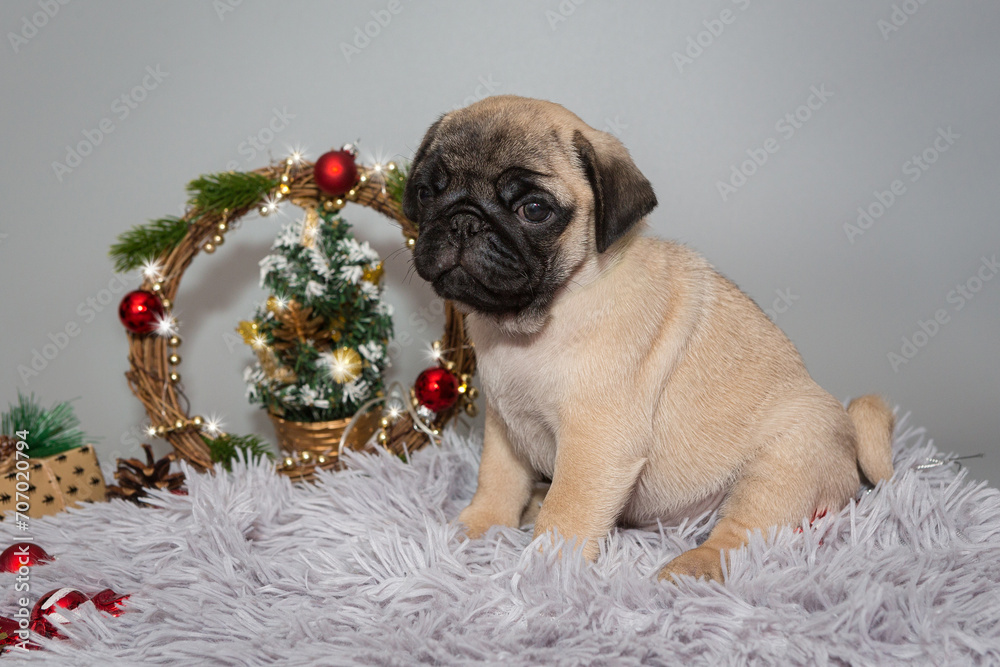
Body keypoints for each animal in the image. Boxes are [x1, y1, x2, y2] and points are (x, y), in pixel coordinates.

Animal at [402, 95, 896, 584]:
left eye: (535, 210)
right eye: (427, 193)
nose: (464, 222)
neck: (531, 324)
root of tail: (851, 440)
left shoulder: (596, 442)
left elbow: (567, 511)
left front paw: (547, 573)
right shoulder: (505, 426)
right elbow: (498, 479)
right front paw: (478, 527)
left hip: (783, 462)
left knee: (741, 533)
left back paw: (692, 567)